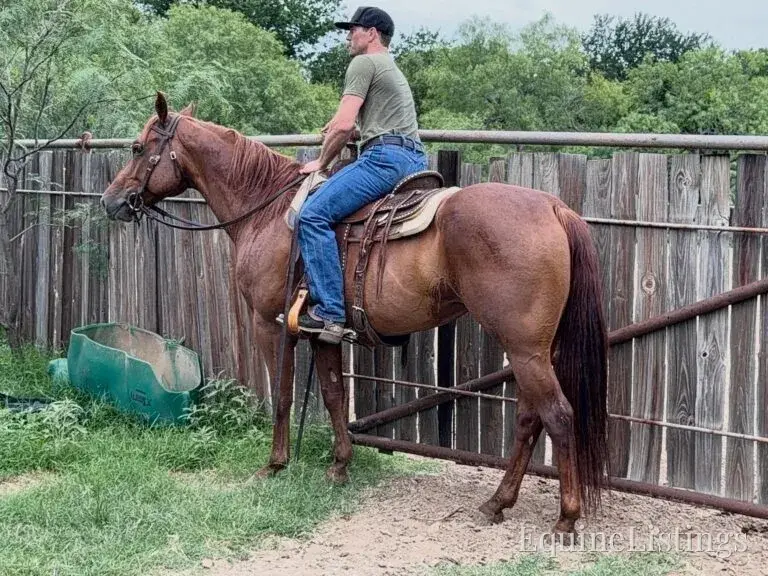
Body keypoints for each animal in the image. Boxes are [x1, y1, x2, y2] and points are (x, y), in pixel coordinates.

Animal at [101, 93, 608, 534]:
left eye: (138, 147)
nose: (110, 201)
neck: (266, 210)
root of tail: (554, 207)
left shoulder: (271, 325)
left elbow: (282, 396)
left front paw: (275, 464)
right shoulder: (322, 332)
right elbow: (332, 395)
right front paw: (339, 466)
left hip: (524, 349)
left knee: (558, 415)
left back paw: (565, 518)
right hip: (533, 351)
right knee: (529, 419)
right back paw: (498, 502)